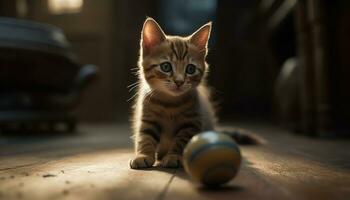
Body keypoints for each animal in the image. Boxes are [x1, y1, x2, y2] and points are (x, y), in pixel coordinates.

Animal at [130, 18, 258, 170]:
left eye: (190, 69)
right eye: (166, 67)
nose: (179, 81)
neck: (170, 103)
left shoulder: (192, 122)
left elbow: (181, 140)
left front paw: (174, 156)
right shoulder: (148, 118)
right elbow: (145, 137)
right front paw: (143, 155)